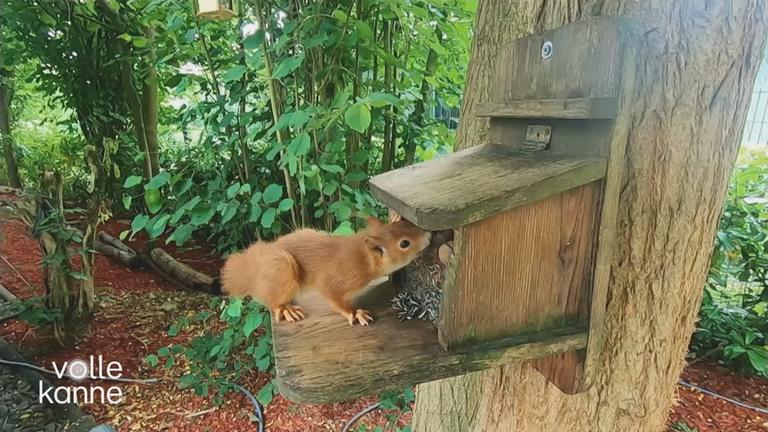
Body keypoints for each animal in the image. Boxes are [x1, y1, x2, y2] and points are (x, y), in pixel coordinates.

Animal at [220, 212, 431, 326]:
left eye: (405, 224)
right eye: (404, 243)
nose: (428, 235)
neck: (363, 256)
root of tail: (254, 274)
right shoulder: (338, 278)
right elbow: (334, 298)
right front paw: (354, 313)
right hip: (282, 269)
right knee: (273, 303)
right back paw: (286, 309)